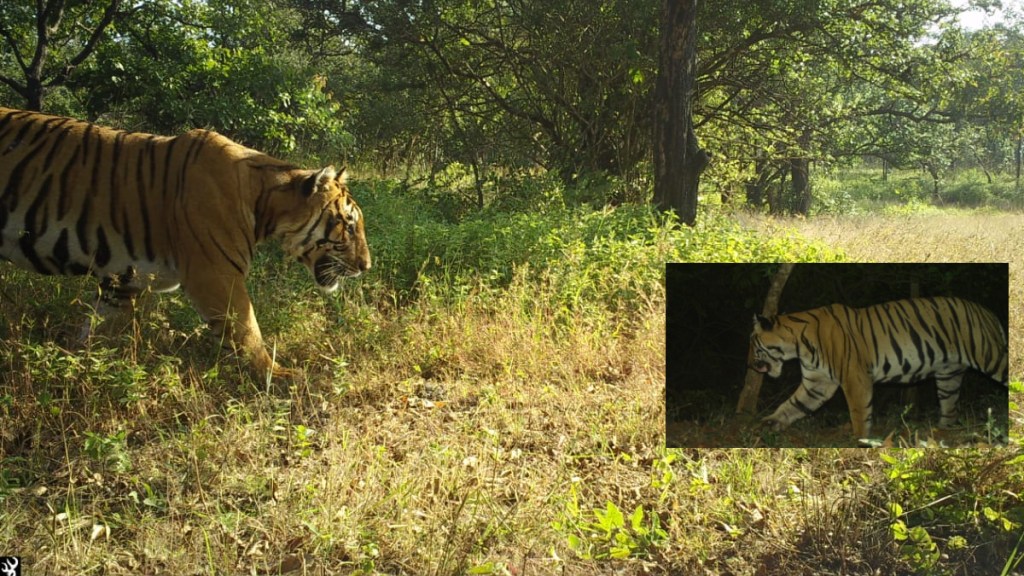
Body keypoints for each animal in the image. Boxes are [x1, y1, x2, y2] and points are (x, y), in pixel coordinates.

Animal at [0, 106, 372, 379]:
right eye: (349, 225)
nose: (366, 266)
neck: (262, 203)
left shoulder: (124, 281)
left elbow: (97, 331)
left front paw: (79, 370)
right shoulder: (216, 277)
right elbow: (248, 330)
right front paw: (282, 377)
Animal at [749, 293, 1011, 436]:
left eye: (754, 346)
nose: (750, 366)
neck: (798, 345)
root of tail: (987, 312)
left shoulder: (855, 379)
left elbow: (859, 413)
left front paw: (860, 441)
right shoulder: (818, 383)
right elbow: (793, 404)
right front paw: (769, 423)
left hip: (989, 357)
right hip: (949, 376)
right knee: (950, 408)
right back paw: (940, 432)